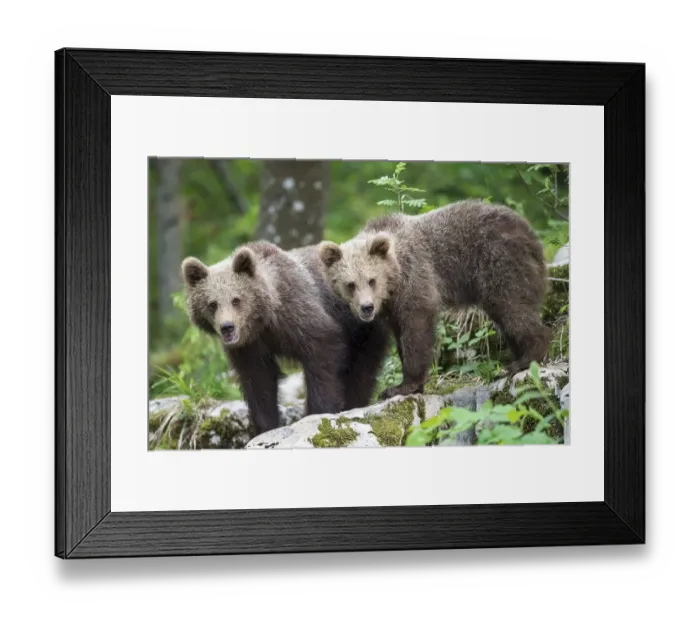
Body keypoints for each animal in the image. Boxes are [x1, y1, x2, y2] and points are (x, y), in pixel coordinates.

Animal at [181, 240, 390, 436]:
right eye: (212, 304)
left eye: (236, 300)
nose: (227, 327)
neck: (264, 320)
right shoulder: (249, 347)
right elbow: (258, 382)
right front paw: (265, 427)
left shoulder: (300, 315)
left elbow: (323, 359)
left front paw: (319, 412)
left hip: (363, 328)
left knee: (361, 371)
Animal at [318, 199, 551, 399]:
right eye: (350, 284)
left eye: (372, 280)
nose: (367, 307)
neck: (394, 280)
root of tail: (530, 233)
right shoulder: (392, 307)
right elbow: (401, 334)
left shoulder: (416, 278)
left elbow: (416, 332)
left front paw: (401, 387)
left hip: (500, 262)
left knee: (513, 307)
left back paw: (523, 361)